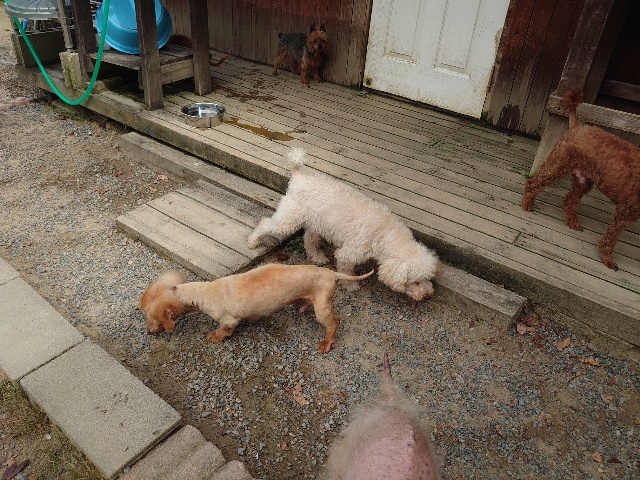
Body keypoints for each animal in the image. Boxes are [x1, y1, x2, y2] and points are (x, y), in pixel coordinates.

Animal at [140, 264, 373, 353]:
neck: (203, 293)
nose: (148, 332)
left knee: (334, 322)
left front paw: (214, 337)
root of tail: (331, 273)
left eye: (153, 319)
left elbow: (224, 330)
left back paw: (326, 343)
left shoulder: (228, 319)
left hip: (323, 306)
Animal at [247, 148, 442, 301]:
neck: (386, 234)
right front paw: (351, 287)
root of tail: (298, 174)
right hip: (289, 218)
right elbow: (347, 271)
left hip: (316, 223)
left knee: (309, 239)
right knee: (266, 222)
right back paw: (253, 241)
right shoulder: (348, 254)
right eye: (415, 282)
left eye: (428, 279)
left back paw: (317, 257)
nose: (427, 295)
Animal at [522, 88, 640, 270]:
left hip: (583, 180)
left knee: (570, 199)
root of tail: (575, 126)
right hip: (557, 165)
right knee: (534, 183)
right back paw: (527, 205)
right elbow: (611, 239)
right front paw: (608, 259)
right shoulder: (626, 212)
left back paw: (573, 223)